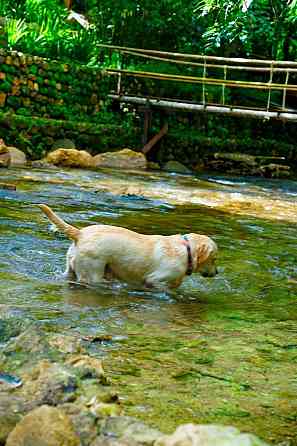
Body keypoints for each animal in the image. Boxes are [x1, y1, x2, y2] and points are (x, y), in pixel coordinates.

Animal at [38, 205, 216, 290]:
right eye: (214, 259)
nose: (217, 272)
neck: (187, 250)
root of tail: (80, 233)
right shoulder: (154, 279)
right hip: (93, 273)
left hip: (70, 269)